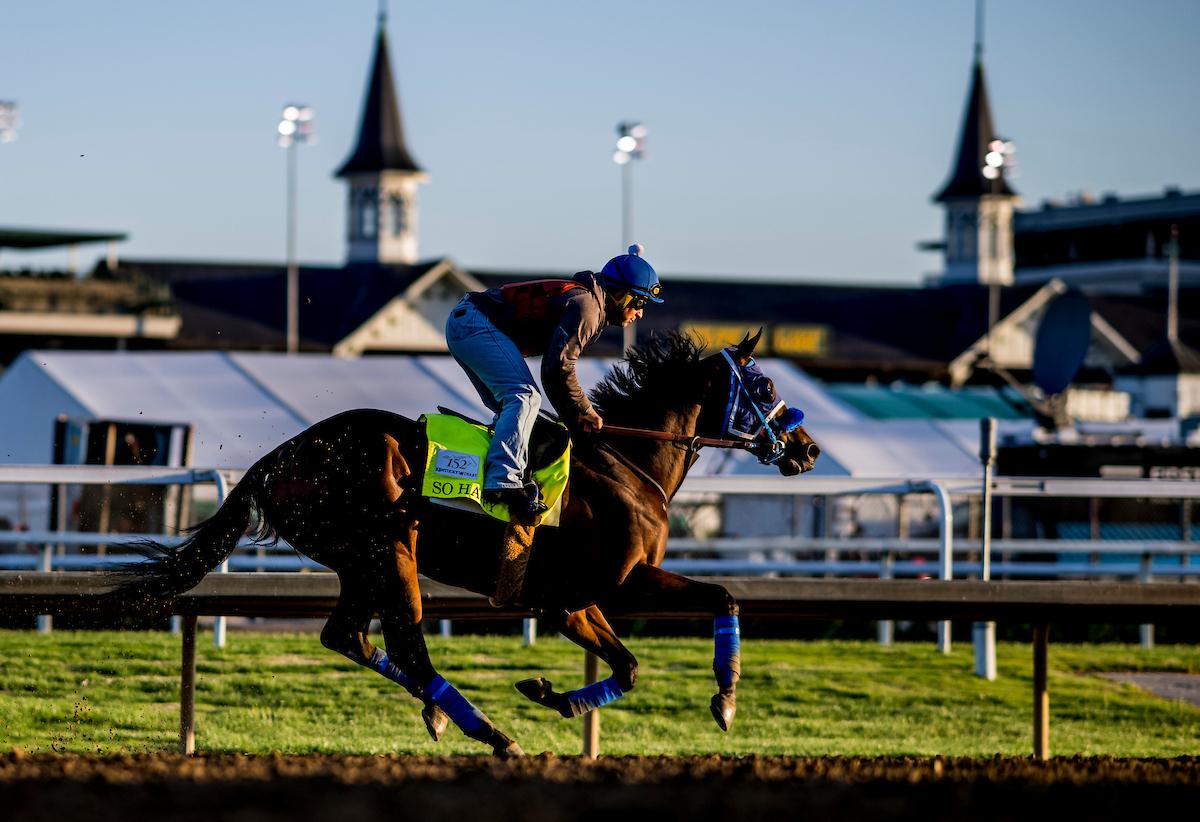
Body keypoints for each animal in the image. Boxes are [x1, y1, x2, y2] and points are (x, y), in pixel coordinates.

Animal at [108, 330, 820, 756]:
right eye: (765, 387)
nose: (808, 449)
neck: (627, 465)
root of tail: (281, 457)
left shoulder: (566, 600)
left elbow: (628, 666)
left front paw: (552, 694)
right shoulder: (619, 582)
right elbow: (723, 596)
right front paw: (726, 701)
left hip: (359, 562)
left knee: (349, 636)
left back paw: (447, 714)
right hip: (388, 546)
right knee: (406, 644)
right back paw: (491, 734)